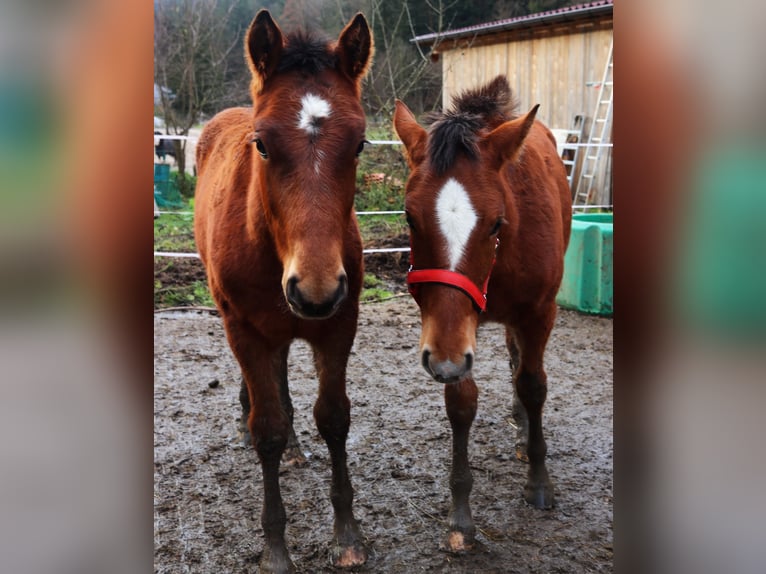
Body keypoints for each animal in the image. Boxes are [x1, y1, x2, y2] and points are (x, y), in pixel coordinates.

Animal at [195, 10, 376, 574]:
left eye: (359, 144)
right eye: (262, 144)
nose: (315, 290)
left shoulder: (339, 325)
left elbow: (334, 418)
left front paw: (348, 535)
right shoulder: (245, 330)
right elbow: (266, 429)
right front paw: (276, 549)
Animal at [396, 75, 568, 552]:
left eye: (496, 222)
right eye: (409, 217)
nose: (444, 363)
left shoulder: (539, 313)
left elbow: (534, 385)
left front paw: (539, 482)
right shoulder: (452, 338)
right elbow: (461, 404)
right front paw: (461, 517)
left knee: (524, 368)